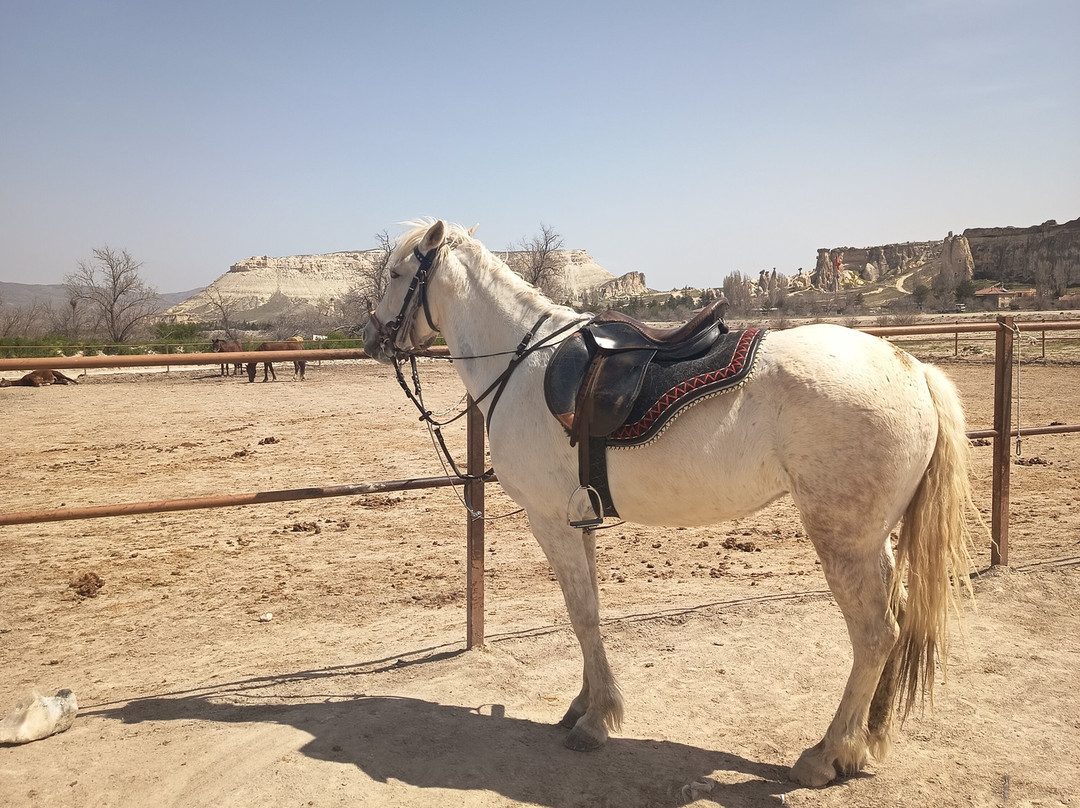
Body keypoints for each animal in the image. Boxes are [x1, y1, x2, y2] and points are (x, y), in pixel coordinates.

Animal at [363, 220, 977, 787]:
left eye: (394, 275)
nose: (371, 337)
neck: (522, 364)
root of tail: (915, 370)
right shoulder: (579, 519)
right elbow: (589, 612)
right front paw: (582, 706)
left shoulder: (550, 521)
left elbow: (581, 614)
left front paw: (596, 722)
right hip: (875, 538)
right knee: (897, 618)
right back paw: (866, 743)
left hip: (843, 540)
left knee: (875, 633)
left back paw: (826, 755)